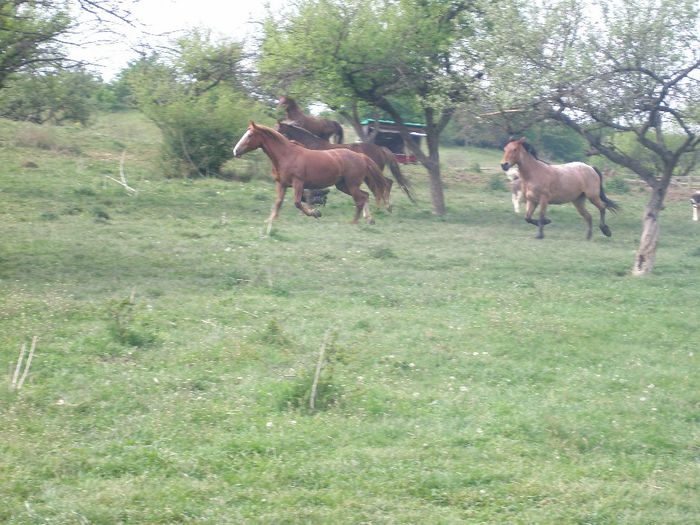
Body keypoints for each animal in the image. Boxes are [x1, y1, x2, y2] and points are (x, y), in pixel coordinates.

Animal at [232, 123, 392, 225]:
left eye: (250, 135)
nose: (235, 151)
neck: (287, 155)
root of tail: (361, 156)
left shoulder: (298, 183)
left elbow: (298, 202)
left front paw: (315, 213)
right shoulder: (282, 184)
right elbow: (278, 202)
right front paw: (271, 220)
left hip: (352, 185)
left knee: (360, 199)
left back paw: (354, 222)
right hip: (343, 186)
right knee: (365, 195)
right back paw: (369, 219)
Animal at [274, 122, 416, 206]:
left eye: (278, 130)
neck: (310, 145)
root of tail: (380, 148)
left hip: (373, 174)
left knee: (385, 184)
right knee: (384, 184)